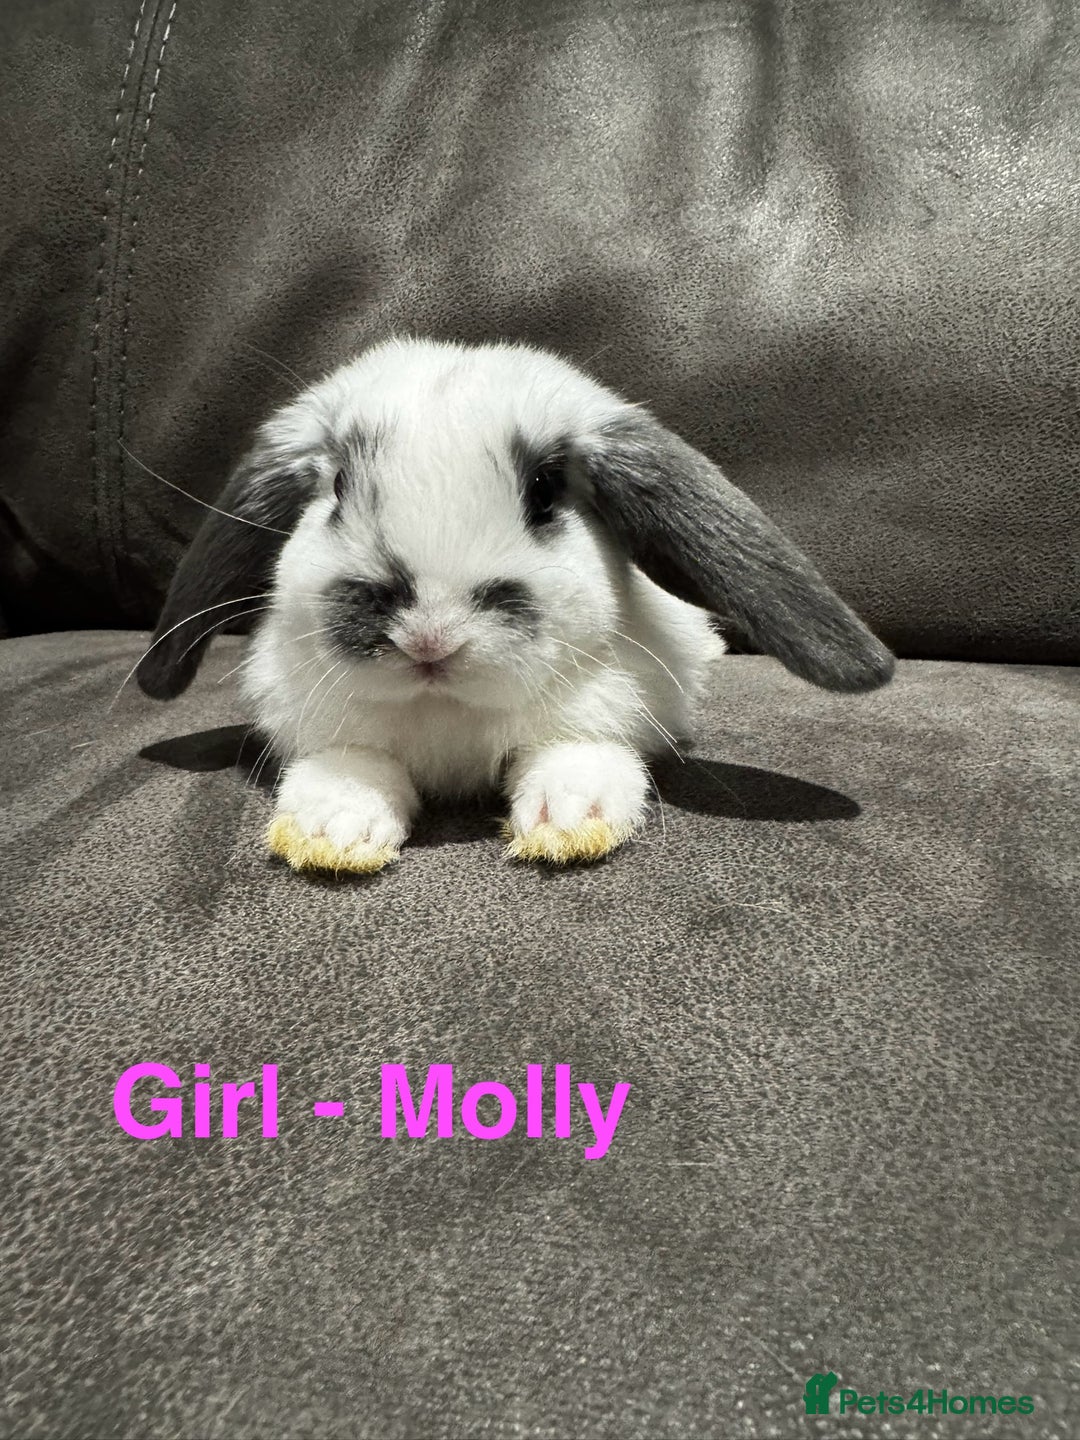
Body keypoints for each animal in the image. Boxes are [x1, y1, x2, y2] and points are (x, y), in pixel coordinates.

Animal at [137, 336, 894, 871]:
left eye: (545, 489)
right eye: (340, 487)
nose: (430, 637)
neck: (447, 714)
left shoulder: (603, 712)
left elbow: (578, 753)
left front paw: (570, 822)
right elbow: (354, 766)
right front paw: (331, 830)